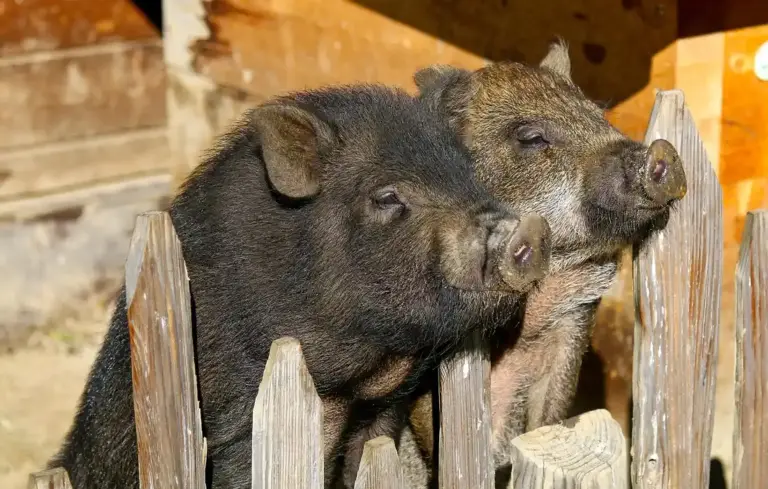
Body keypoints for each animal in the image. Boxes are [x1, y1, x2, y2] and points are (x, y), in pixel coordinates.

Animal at [47, 83, 553, 489]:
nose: (529, 230)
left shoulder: (383, 410)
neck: (363, 372)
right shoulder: (238, 419)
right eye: (387, 197)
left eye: (469, 176)